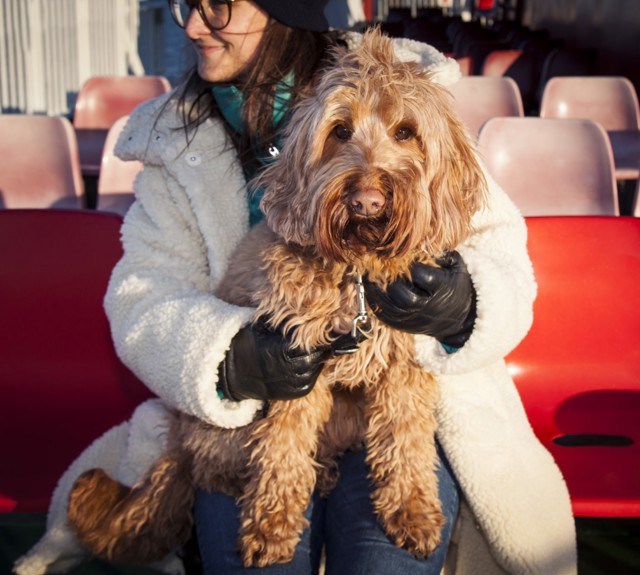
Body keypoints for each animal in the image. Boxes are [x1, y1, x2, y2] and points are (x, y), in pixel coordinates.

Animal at [66, 29, 484, 568]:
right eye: (340, 131)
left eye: (406, 132)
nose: (366, 199)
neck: (356, 272)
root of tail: (176, 438)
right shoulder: (296, 366)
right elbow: (282, 450)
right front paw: (271, 526)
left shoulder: (403, 368)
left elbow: (406, 443)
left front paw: (412, 511)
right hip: (222, 430)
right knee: (213, 466)